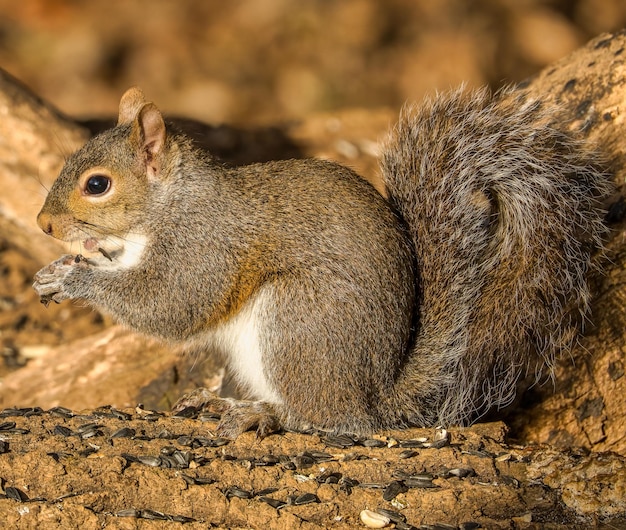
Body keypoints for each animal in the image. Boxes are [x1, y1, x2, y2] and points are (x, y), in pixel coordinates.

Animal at [33, 84, 608, 436]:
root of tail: (375, 397)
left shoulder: (206, 246)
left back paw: (263, 414)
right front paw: (56, 271)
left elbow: (171, 305)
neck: (169, 205)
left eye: (97, 185)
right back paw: (225, 402)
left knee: (330, 421)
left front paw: (78, 281)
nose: (44, 225)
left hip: (296, 323)